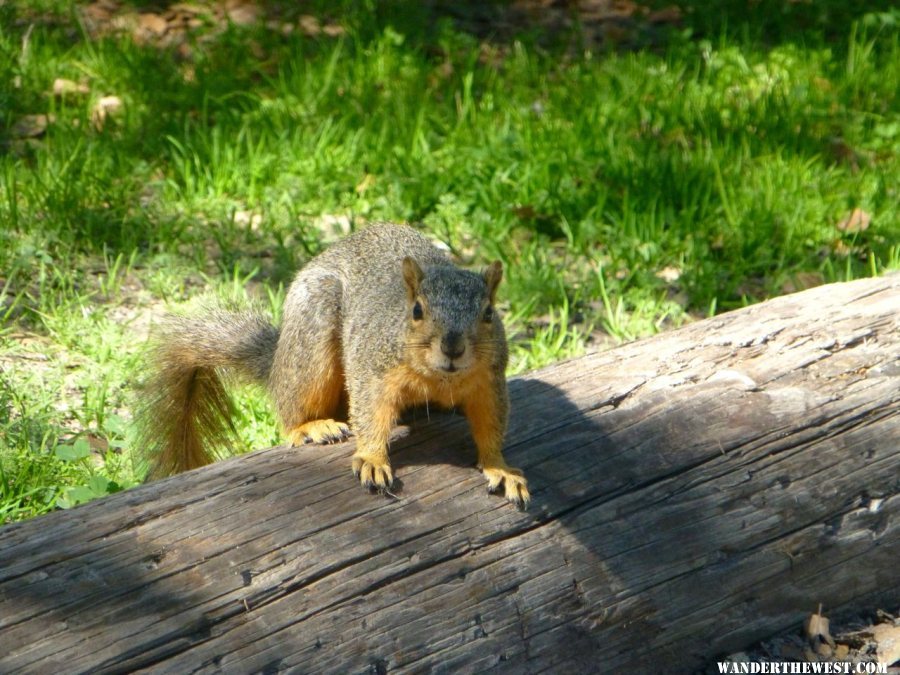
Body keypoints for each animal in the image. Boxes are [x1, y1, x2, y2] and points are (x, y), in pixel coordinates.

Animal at [138, 222, 532, 508]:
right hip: (312, 338)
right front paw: (373, 459)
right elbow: (370, 413)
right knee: (292, 410)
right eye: (417, 310)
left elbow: (491, 426)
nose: (452, 347)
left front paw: (500, 467)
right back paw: (312, 426)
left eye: (488, 313)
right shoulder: (373, 370)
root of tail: (277, 363)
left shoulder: (489, 382)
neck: (441, 377)